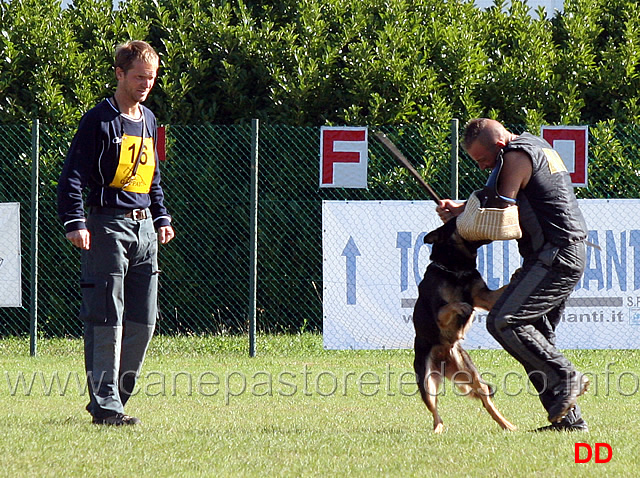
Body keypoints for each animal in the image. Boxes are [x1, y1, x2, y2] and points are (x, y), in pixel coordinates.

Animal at [412, 220, 516, 434]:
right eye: (456, 221)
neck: (455, 270)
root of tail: (444, 361)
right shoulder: (439, 314)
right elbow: (452, 305)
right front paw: (464, 307)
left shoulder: (485, 297)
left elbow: (497, 292)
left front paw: (515, 274)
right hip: (426, 382)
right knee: (436, 411)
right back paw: (437, 430)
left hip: (471, 374)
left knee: (486, 400)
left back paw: (506, 424)